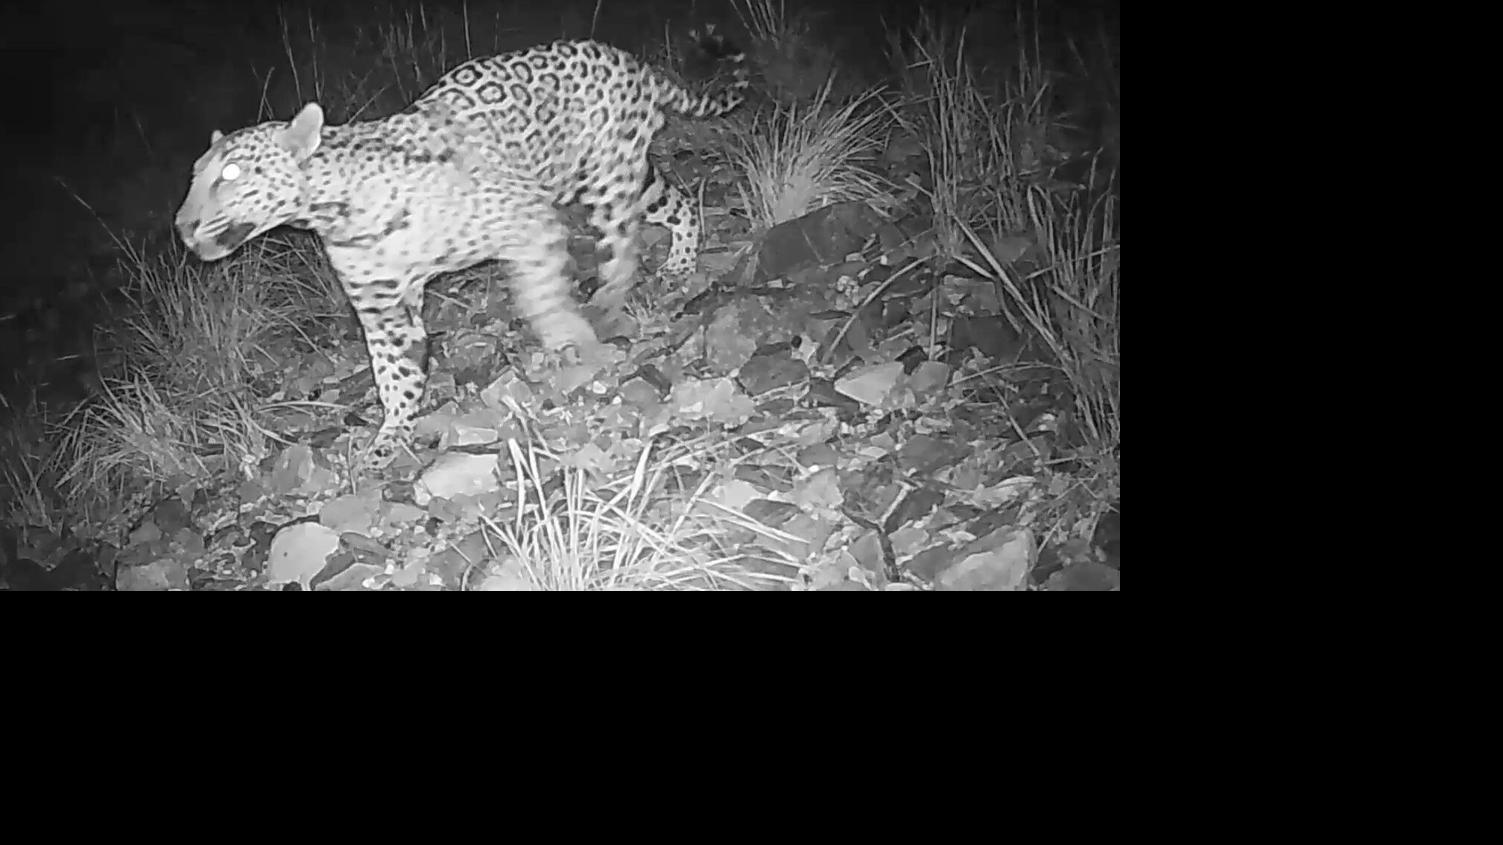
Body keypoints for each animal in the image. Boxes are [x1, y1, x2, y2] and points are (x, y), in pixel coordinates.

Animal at [175, 33, 748, 465]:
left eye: (231, 174)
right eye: (196, 175)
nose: (182, 226)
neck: (337, 213)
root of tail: (629, 59)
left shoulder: (527, 220)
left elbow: (543, 298)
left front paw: (569, 342)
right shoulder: (381, 306)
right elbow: (394, 372)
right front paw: (390, 437)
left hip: (604, 177)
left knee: (623, 240)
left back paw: (612, 297)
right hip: (610, 177)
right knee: (674, 201)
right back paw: (678, 262)